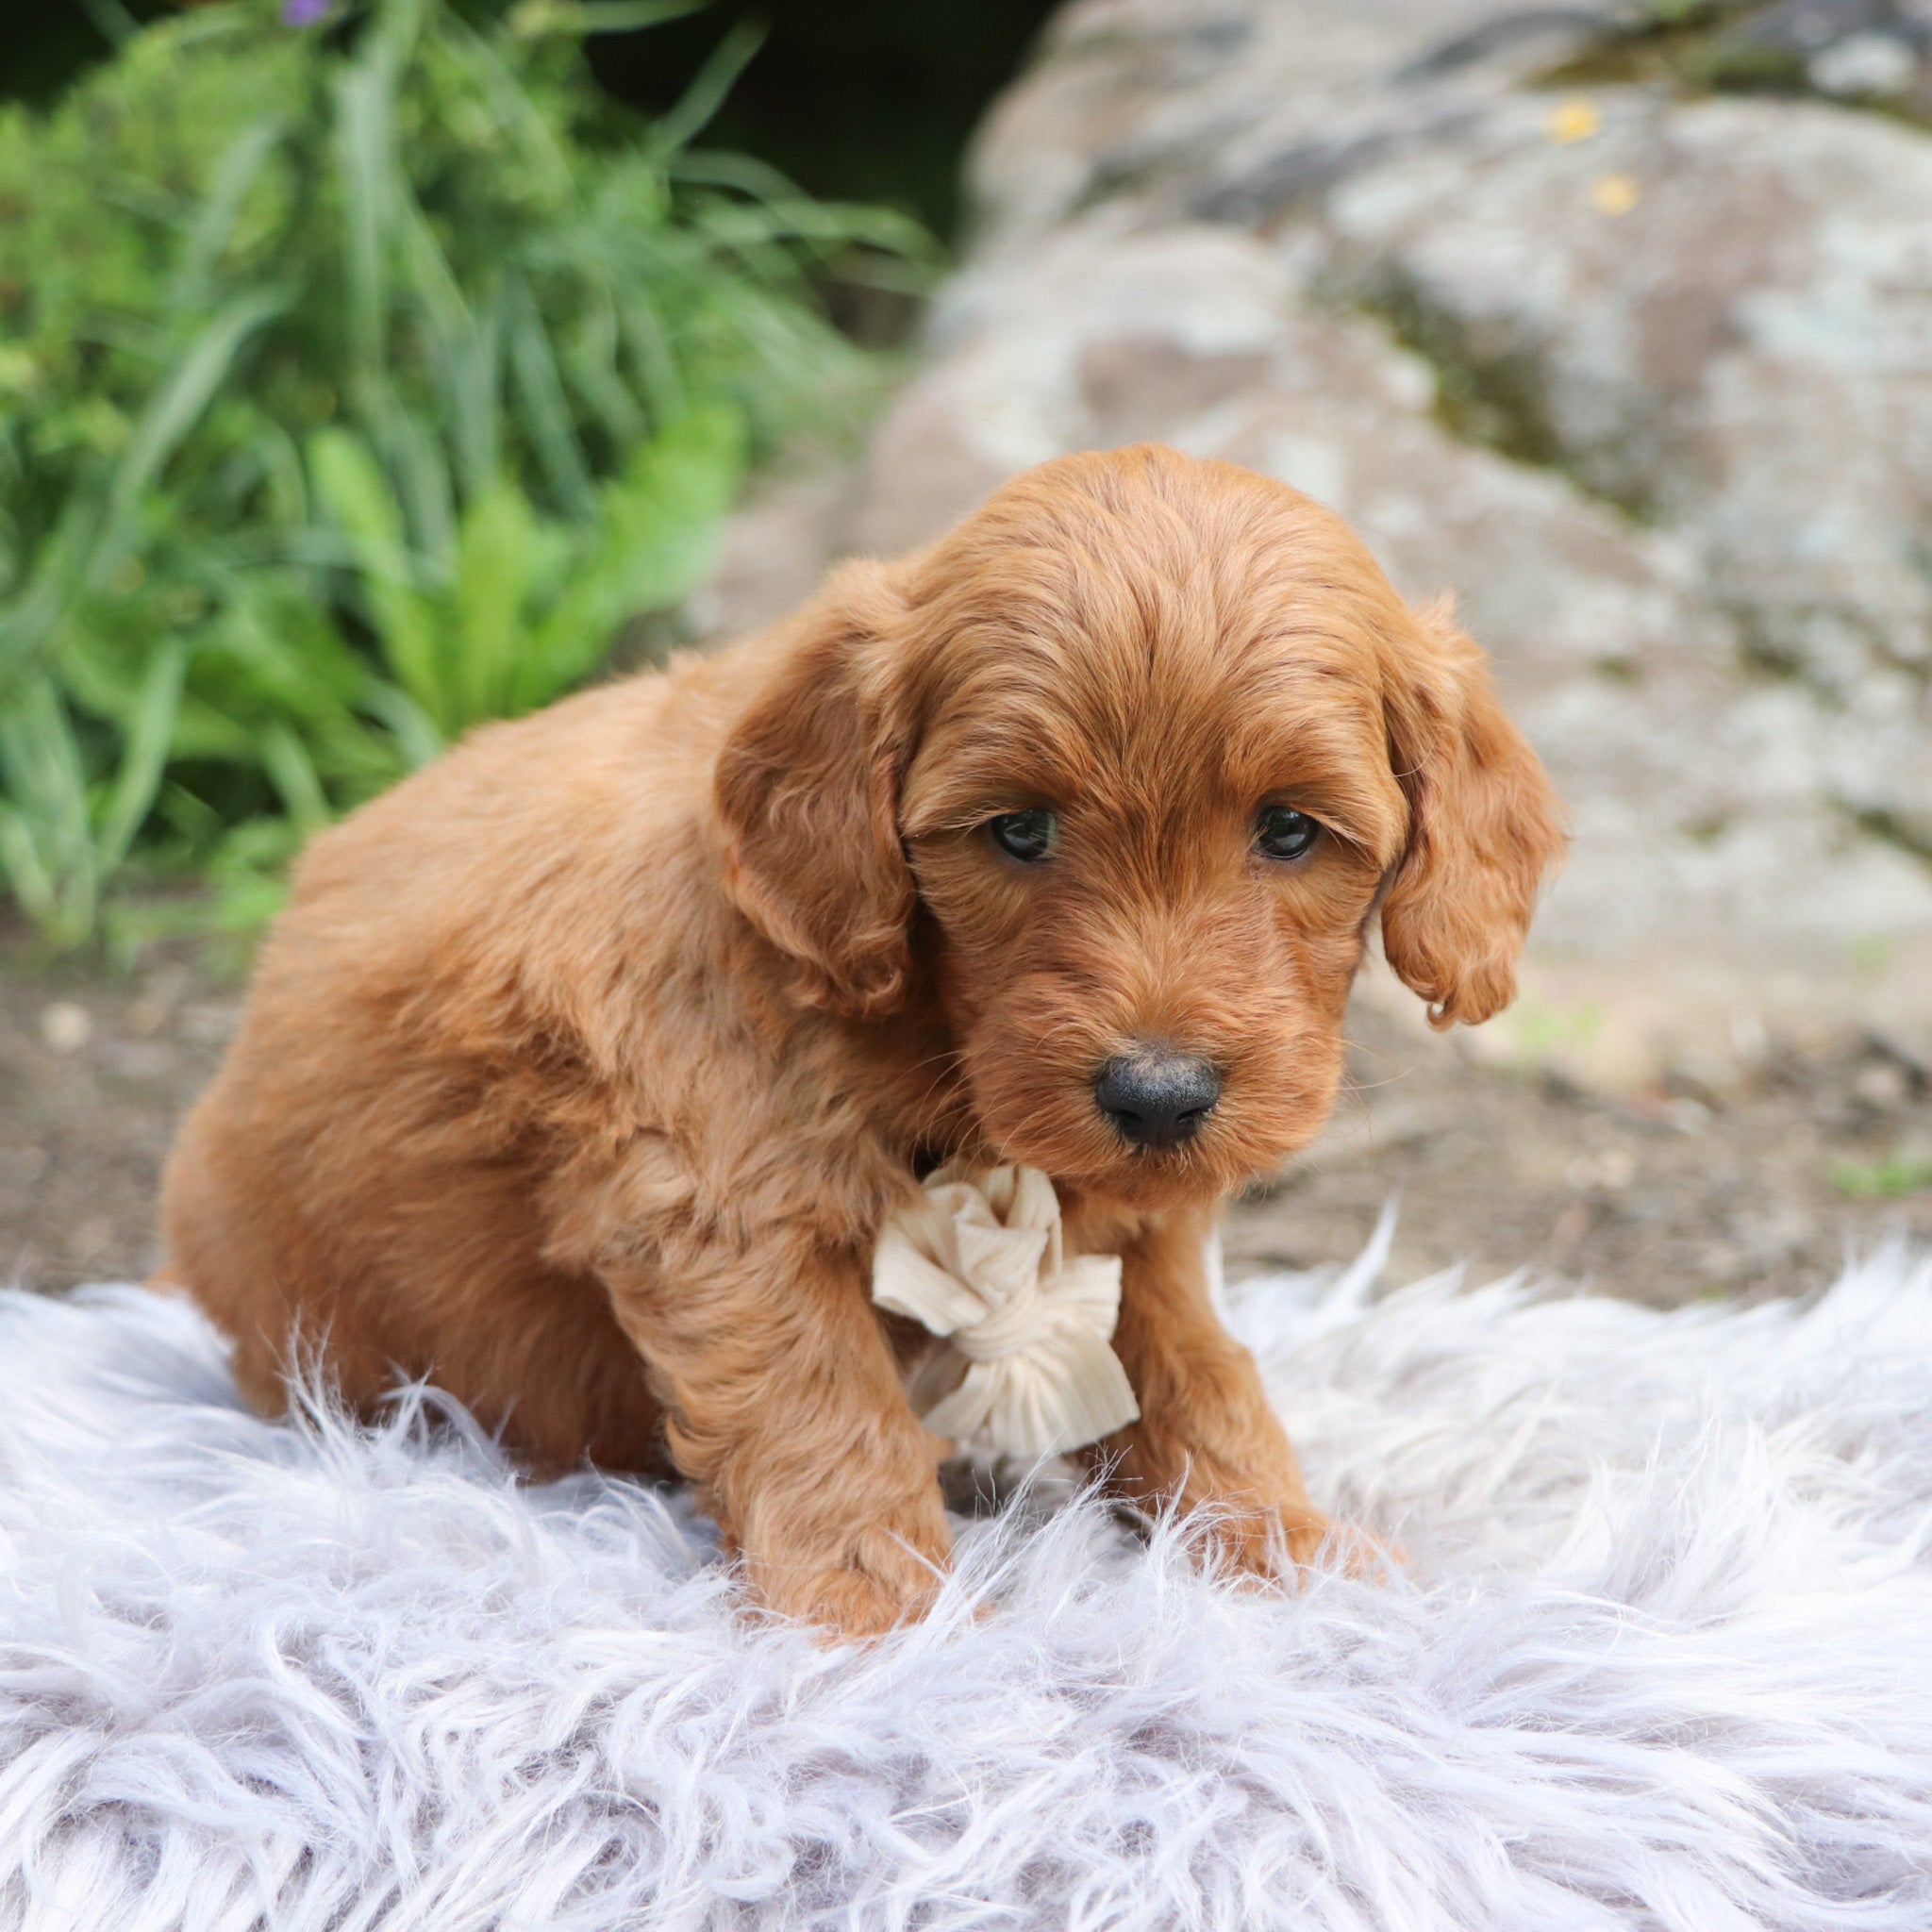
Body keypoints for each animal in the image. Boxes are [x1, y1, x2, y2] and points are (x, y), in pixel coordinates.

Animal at [158, 444, 1560, 1638]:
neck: (932, 1028)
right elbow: (819, 1410)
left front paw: (1286, 1545)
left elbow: (1194, 1370)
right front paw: (882, 1626)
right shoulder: (724, 1205)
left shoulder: (1142, 1224)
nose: (1158, 1095)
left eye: (1289, 830)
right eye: (1017, 830)